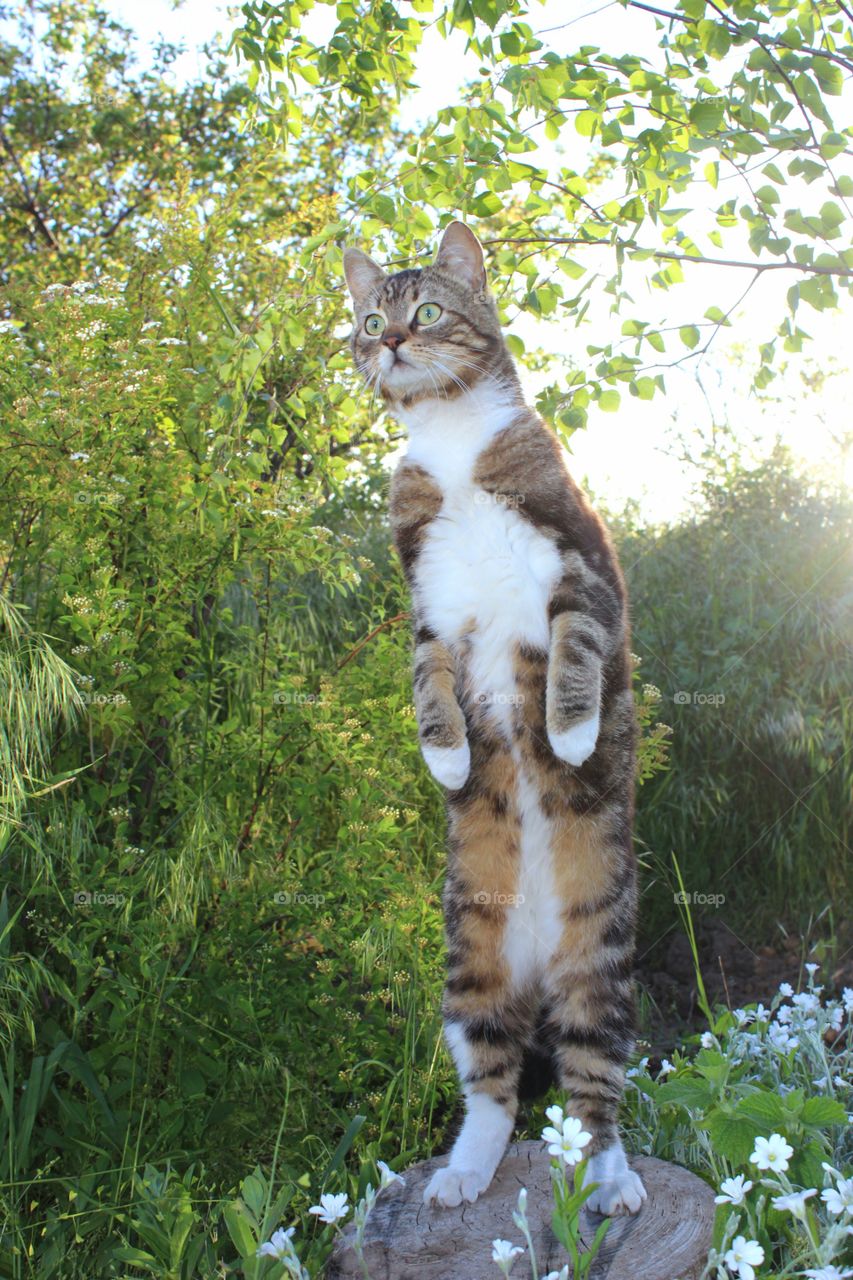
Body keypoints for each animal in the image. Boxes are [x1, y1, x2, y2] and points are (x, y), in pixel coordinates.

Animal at [338, 222, 645, 1218]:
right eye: (370, 318)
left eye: (429, 310)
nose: (393, 341)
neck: (450, 443)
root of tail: (540, 958)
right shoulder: (427, 606)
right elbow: (426, 680)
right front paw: (444, 759)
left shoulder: (581, 561)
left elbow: (578, 647)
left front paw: (574, 732)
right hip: (467, 960)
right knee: (494, 1085)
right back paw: (464, 1173)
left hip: (601, 960)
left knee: (593, 1090)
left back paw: (612, 1179)